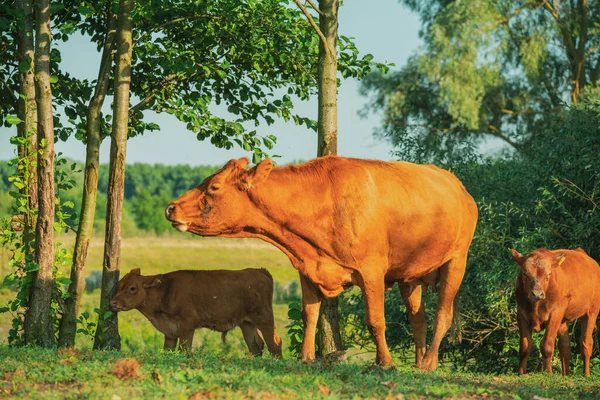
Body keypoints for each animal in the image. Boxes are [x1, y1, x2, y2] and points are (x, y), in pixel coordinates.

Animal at [109, 266, 282, 356]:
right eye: (117, 286)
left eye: (132, 288)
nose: (112, 302)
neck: (165, 290)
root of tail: (260, 271)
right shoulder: (170, 332)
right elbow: (168, 350)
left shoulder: (187, 326)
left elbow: (184, 350)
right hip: (247, 324)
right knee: (256, 346)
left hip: (265, 319)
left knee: (274, 344)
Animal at [164, 156, 478, 368]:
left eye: (214, 186)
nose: (171, 208)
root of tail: (459, 186)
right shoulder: (307, 268)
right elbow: (309, 314)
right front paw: (306, 357)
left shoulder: (371, 270)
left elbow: (375, 320)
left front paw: (385, 362)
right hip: (410, 276)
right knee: (418, 318)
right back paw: (418, 361)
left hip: (457, 260)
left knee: (443, 314)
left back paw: (429, 364)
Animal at [510, 247, 600, 376]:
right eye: (525, 274)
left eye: (548, 274)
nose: (537, 294)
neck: (536, 306)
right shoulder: (521, 314)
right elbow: (525, 347)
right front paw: (521, 373)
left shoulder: (555, 314)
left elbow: (547, 345)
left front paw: (548, 372)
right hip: (563, 320)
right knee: (565, 347)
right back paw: (565, 375)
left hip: (591, 312)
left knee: (586, 343)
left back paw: (586, 374)